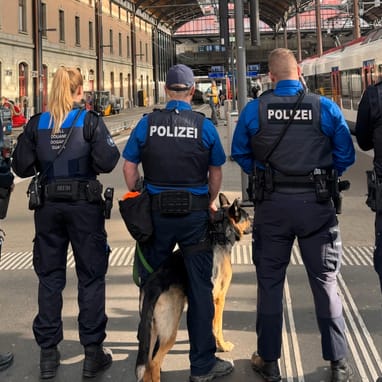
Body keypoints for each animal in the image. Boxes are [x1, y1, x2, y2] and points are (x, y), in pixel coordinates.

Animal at [136, 194, 252, 382]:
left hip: (151, 330)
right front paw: (222, 346)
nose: (254, 223)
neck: (220, 233)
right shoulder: (219, 298)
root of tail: (154, 285)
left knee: (147, 365)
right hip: (169, 330)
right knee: (154, 363)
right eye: (247, 216)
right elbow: (217, 327)